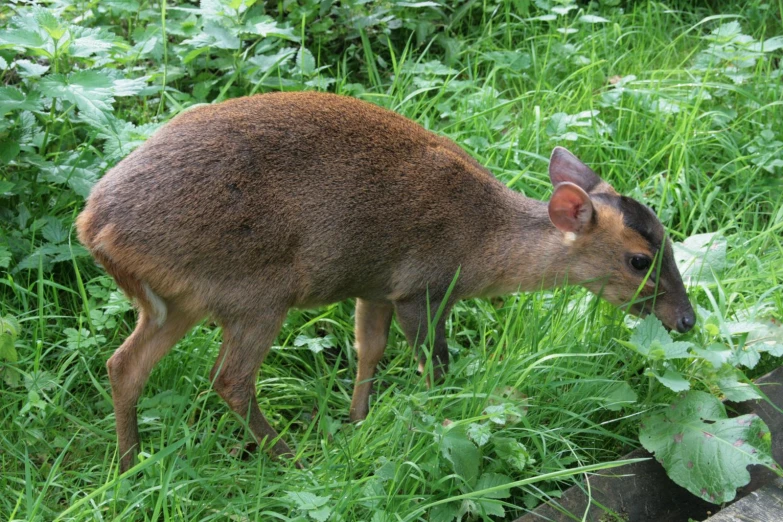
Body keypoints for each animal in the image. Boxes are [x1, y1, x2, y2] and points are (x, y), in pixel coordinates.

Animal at [76, 89, 696, 472]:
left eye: (670, 243)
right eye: (641, 260)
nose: (687, 319)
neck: (482, 244)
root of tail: (94, 224)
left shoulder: (374, 287)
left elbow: (368, 351)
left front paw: (357, 423)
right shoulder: (422, 286)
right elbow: (435, 365)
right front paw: (439, 427)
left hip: (174, 303)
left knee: (123, 365)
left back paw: (128, 466)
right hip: (256, 291)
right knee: (228, 379)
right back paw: (293, 458)